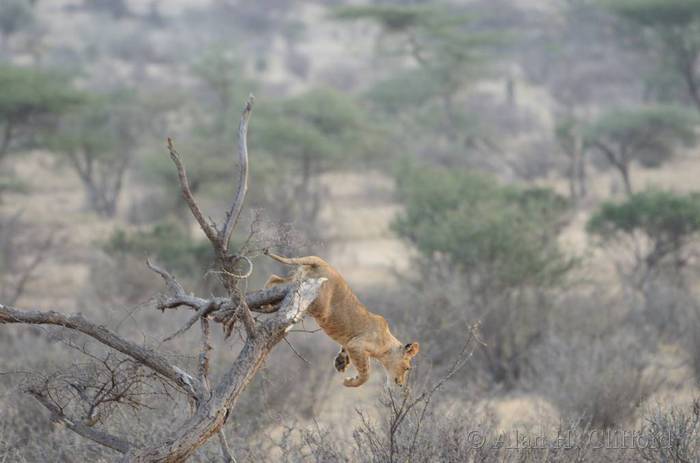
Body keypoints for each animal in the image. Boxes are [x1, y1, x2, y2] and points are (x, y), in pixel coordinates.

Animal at [262, 250, 416, 388]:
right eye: (407, 368)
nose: (401, 385)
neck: (386, 345)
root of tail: (322, 263)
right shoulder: (357, 346)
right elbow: (366, 373)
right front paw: (350, 382)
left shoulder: (349, 342)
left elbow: (344, 350)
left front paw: (340, 363)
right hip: (320, 301)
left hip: (296, 281)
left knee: (274, 279)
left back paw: (267, 302)